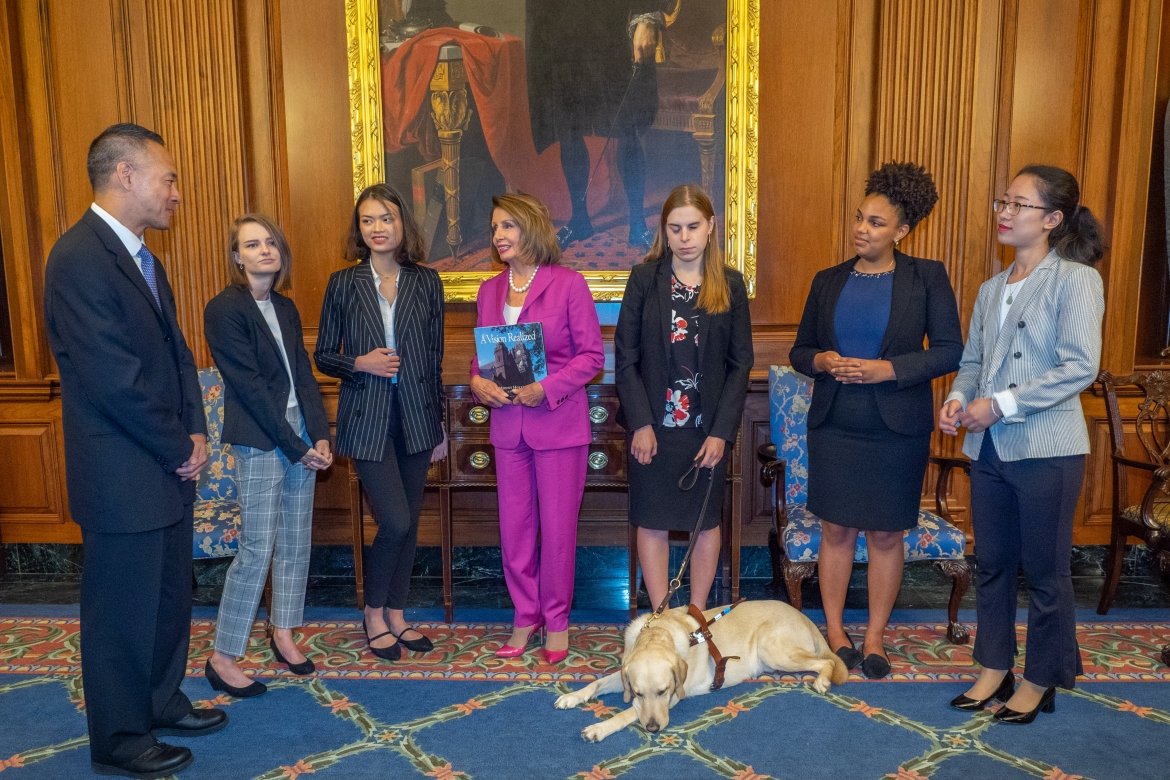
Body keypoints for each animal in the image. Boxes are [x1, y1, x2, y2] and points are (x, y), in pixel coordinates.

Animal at [552, 603, 847, 743]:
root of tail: (805, 617)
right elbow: (598, 683)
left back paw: (823, 681)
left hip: (772, 648)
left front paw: (599, 728)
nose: (653, 728)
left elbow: (627, 713)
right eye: (638, 692)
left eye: (663, 691)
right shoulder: (624, 675)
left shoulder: (674, 696)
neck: (657, 634)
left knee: (826, 663)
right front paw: (573, 696)